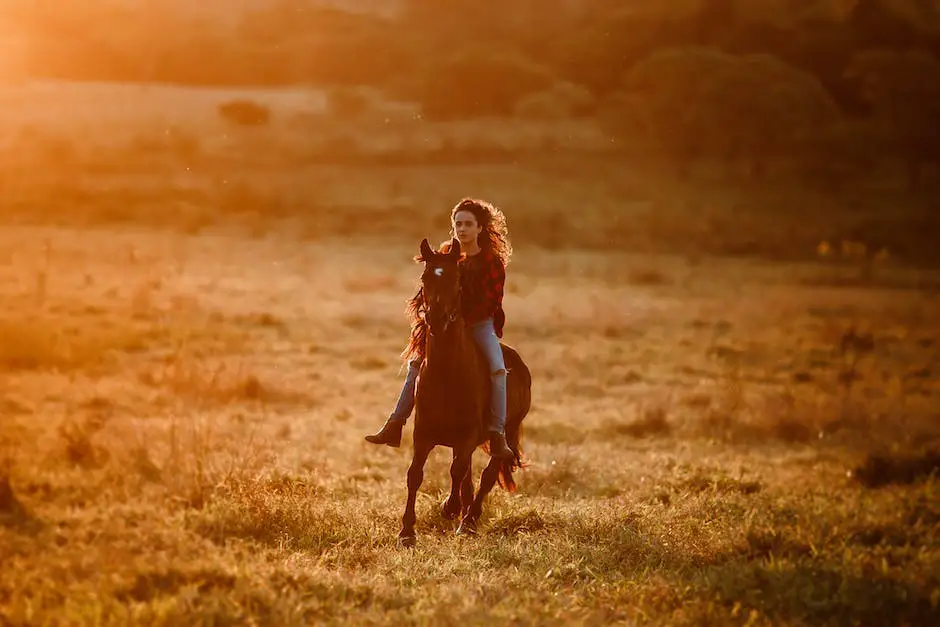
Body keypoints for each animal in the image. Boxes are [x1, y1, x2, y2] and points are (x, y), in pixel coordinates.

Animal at [394, 238, 528, 548]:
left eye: (456, 279)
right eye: (425, 277)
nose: (436, 317)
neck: (447, 375)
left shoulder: (466, 437)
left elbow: (457, 471)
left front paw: (450, 508)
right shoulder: (423, 435)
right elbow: (415, 475)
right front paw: (406, 532)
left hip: (508, 432)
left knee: (488, 473)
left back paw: (469, 519)